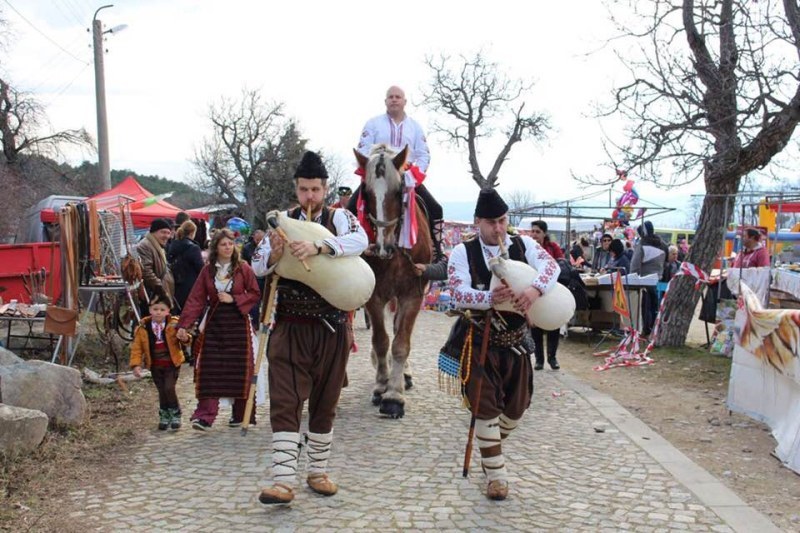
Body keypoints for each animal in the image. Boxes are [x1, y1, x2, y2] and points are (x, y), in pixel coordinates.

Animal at [354, 143, 432, 418]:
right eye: (366, 192)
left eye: (399, 191)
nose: (382, 246)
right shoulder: (374, 295)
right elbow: (380, 341)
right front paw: (381, 386)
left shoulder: (412, 294)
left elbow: (401, 342)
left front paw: (394, 396)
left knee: (399, 329)